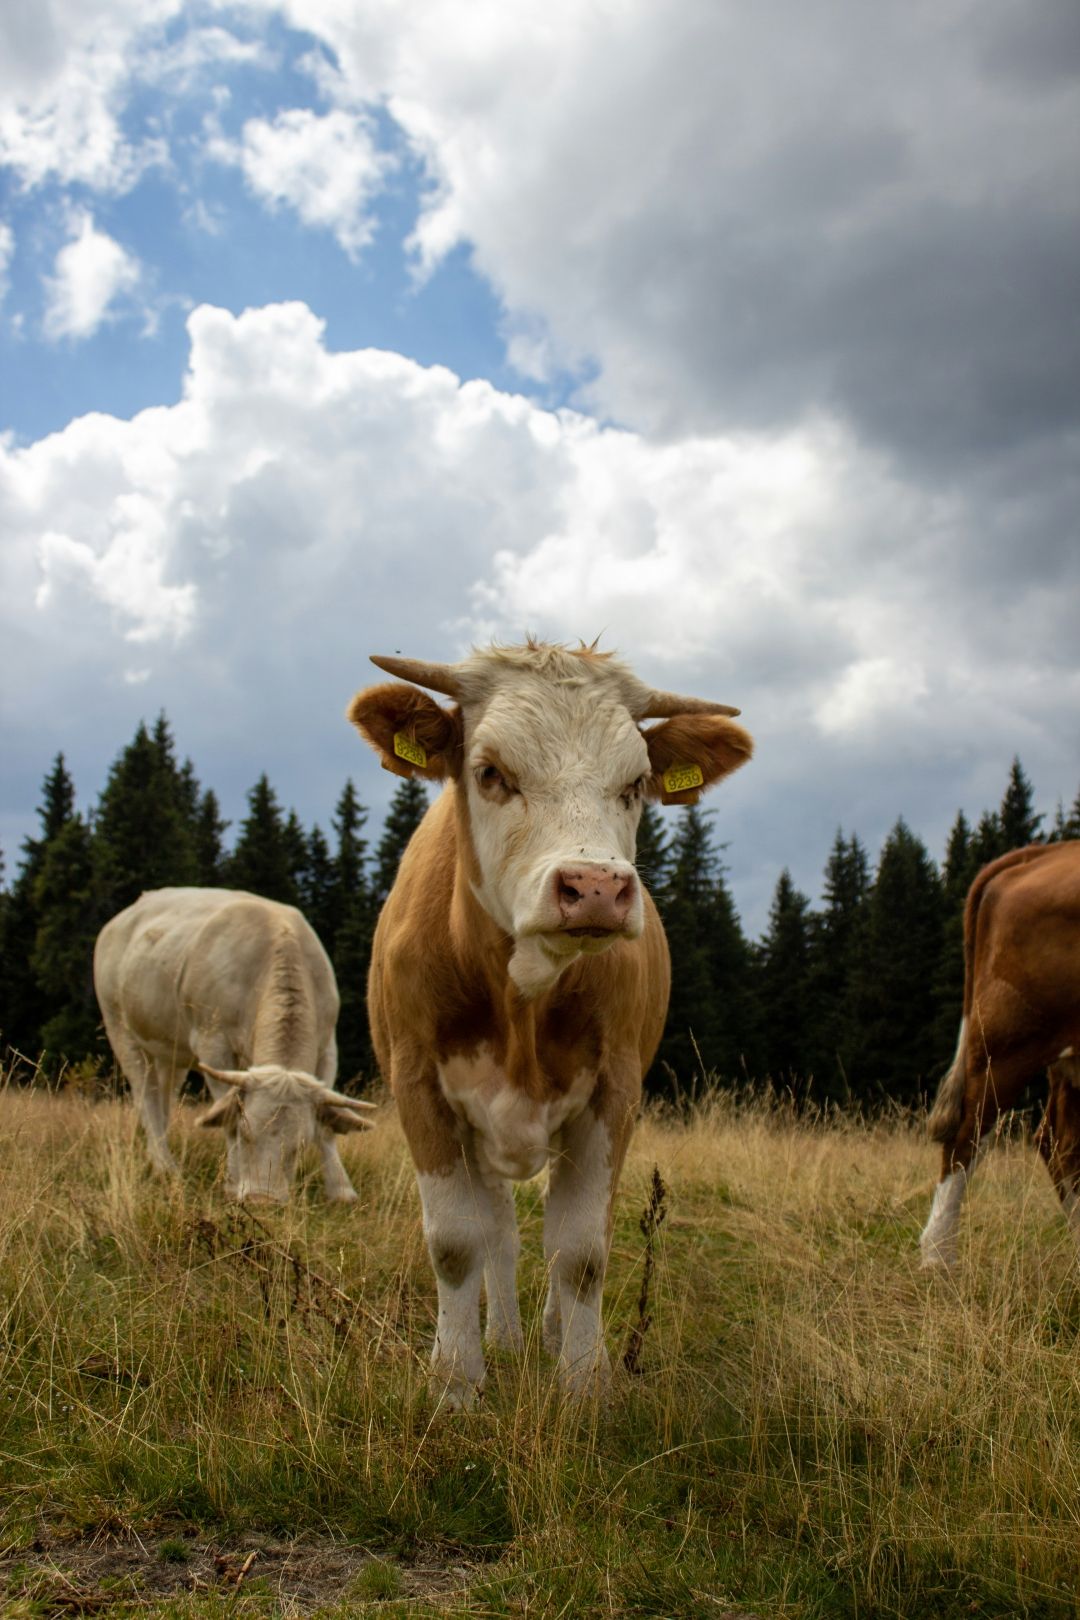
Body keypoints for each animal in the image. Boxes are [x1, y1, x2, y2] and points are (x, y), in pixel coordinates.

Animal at [97, 887, 375, 1205]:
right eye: (245, 1132)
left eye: (300, 1144)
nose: (261, 1199)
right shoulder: (212, 1044)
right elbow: (226, 1111)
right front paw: (232, 1182)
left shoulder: (327, 1045)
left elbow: (327, 1123)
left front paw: (341, 1190)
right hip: (120, 1027)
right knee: (145, 1095)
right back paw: (165, 1166)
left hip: (170, 1050)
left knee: (163, 1094)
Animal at [351, 638, 757, 1399]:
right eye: (490, 773)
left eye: (636, 784)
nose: (595, 888)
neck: (523, 1000)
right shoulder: (420, 1089)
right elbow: (458, 1243)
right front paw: (456, 1381)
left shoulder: (613, 1095)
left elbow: (581, 1249)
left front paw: (584, 1382)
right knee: (501, 1235)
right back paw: (504, 1339)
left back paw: (545, 1334)